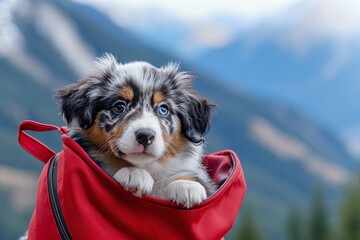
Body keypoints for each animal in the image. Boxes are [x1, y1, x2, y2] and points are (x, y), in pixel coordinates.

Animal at [55, 54, 217, 208]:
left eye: (163, 109)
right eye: (119, 106)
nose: (145, 136)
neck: (147, 167)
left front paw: (187, 185)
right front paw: (134, 173)